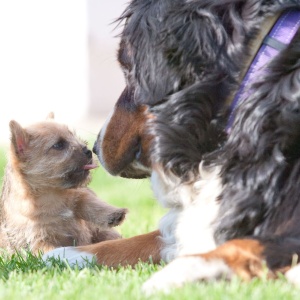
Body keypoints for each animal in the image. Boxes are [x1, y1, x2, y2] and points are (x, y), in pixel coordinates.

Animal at [0, 113, 126, 254]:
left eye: (72, 135)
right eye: (58, 145)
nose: (88, 151)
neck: (52, 194)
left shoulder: (78, 194)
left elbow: (89, 202)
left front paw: (113, 213)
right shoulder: (38, 239)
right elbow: (51, 249)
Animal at [44, 0, 300, 290]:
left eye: (128, 69)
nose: (95, 148)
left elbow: (244, 245)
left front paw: (181, 271)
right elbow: (151, 237)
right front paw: (67, 253)